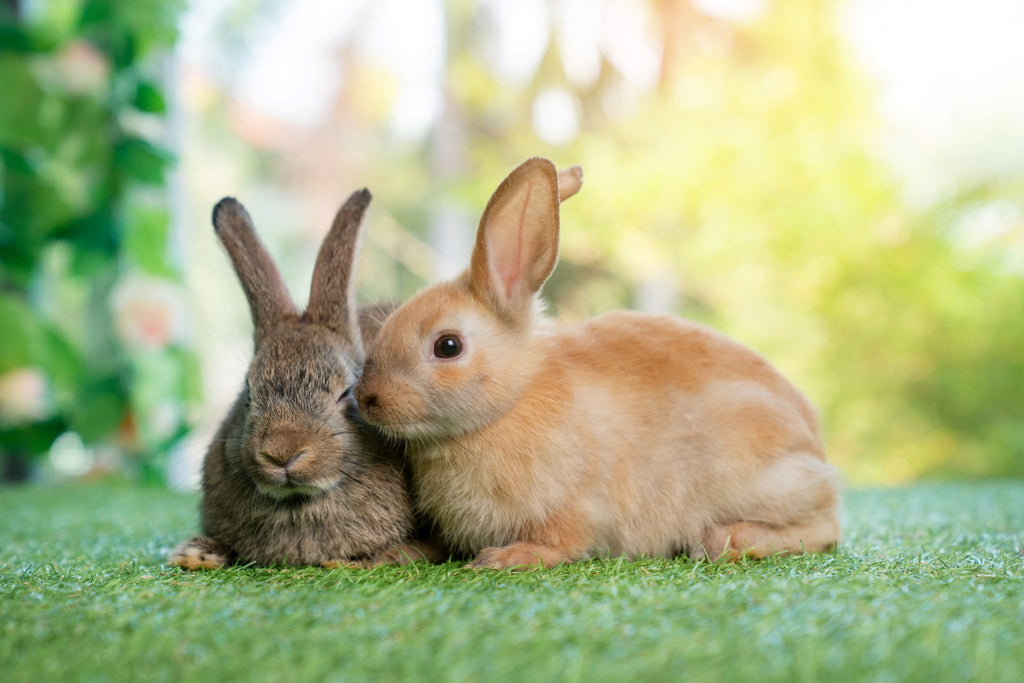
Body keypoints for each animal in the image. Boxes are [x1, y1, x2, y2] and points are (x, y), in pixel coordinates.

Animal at [354, 157, 839, 569]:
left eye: (448, 346)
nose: (367, 398)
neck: (509, 404)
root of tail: (813, 444)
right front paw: (391, 554)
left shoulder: (578, 507)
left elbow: (562, 542)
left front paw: (506, 558)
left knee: (826, 527)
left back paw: (731, 540)